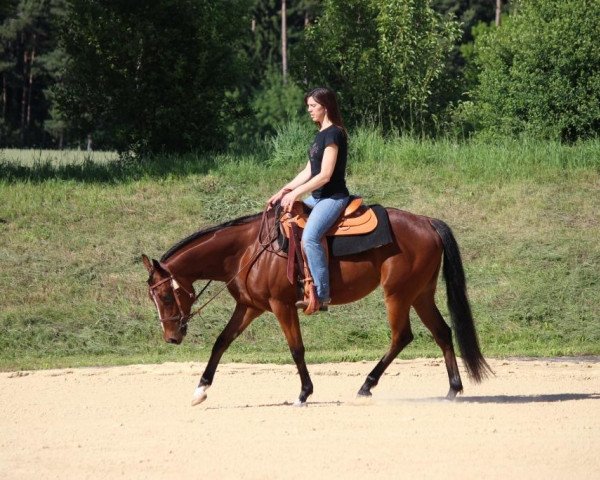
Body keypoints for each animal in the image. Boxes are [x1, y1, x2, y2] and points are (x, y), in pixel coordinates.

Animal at [143, 206, 490, 404]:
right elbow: (221, 342)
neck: (249, 250)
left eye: (165, 296)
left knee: (402, 336)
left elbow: (296, 349)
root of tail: (427, 222)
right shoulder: (249, 307)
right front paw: (200, 390)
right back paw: (453, 389)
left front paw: (304, 392)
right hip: (420, 294)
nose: (171, 337)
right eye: (154, 297)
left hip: (398, 295)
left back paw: (366, 385)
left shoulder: (281, 305)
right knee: (443, 332)